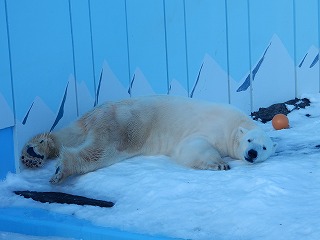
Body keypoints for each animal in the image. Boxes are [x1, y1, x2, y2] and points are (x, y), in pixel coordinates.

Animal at [20, 94, 276, 183]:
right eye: (250, 141)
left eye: (264, 147)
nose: (252, 153)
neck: (235, 125)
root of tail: (99, 112)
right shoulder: (213, 129)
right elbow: (192, 147)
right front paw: (220, 163)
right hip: (124, 126)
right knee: (99, 151)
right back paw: (61, 169)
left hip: (99, 120)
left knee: (71, 134)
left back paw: (34, 152)